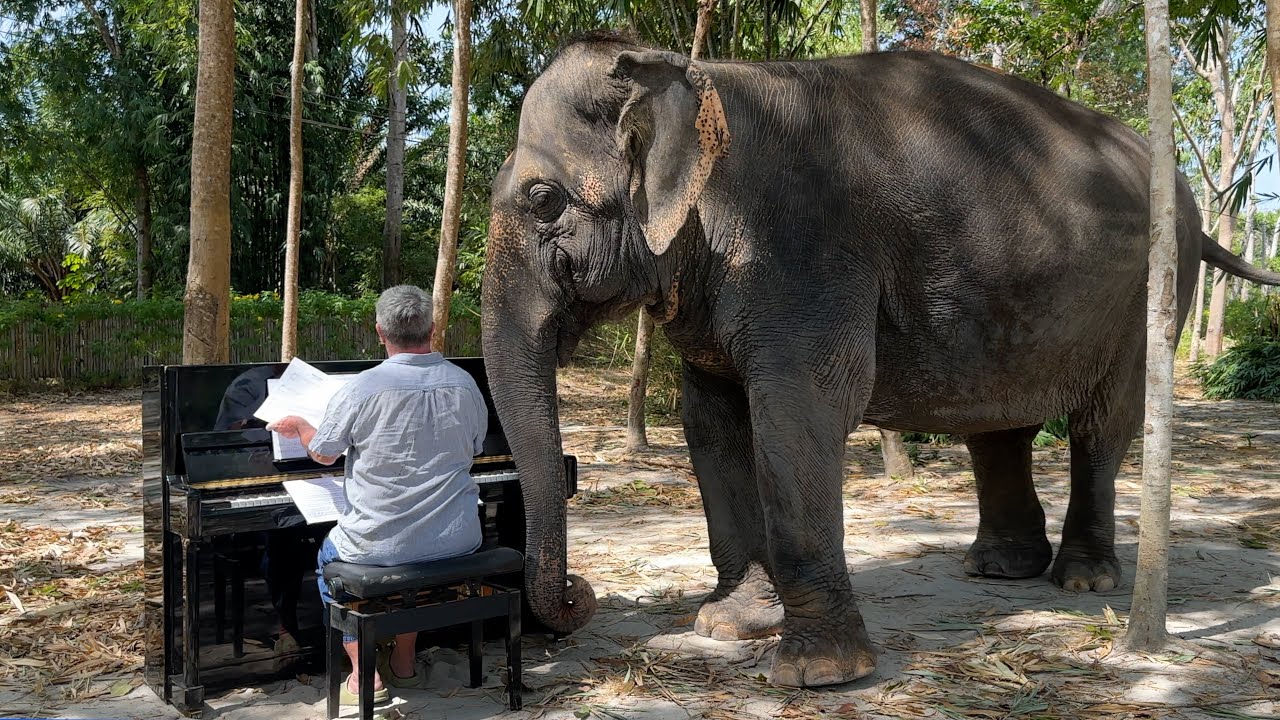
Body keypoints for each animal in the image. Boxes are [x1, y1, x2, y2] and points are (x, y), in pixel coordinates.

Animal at [480, 32, 1280, 688]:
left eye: (544, 200)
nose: (577, 595)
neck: (696, 75)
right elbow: (710, 423)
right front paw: (729, 625)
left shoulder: (804, 253)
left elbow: (799, 414)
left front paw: (819, 673)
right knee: (1000, 428)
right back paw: (999, 569)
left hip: (1153, 288)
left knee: (1100, 428)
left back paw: (1083, 582)